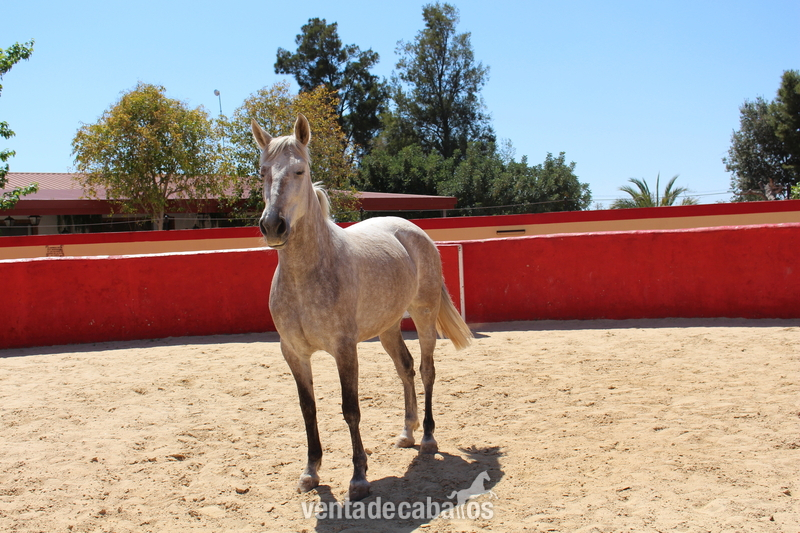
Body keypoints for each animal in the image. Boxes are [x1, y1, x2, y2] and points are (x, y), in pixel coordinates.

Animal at [251, 115, 473, 502]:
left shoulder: (345, 350)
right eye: (263, 171)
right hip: (387, 328)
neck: (308, 274)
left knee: (427, 370)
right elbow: (308, 410)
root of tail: (414, 230)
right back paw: (407, 432)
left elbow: (350, 410)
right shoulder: (293, 353)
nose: (273, 226)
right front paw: (310, 471)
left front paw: (358, 478)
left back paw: (428, 437)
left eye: (299, 170)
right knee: (406, 368)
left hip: (424, 316)